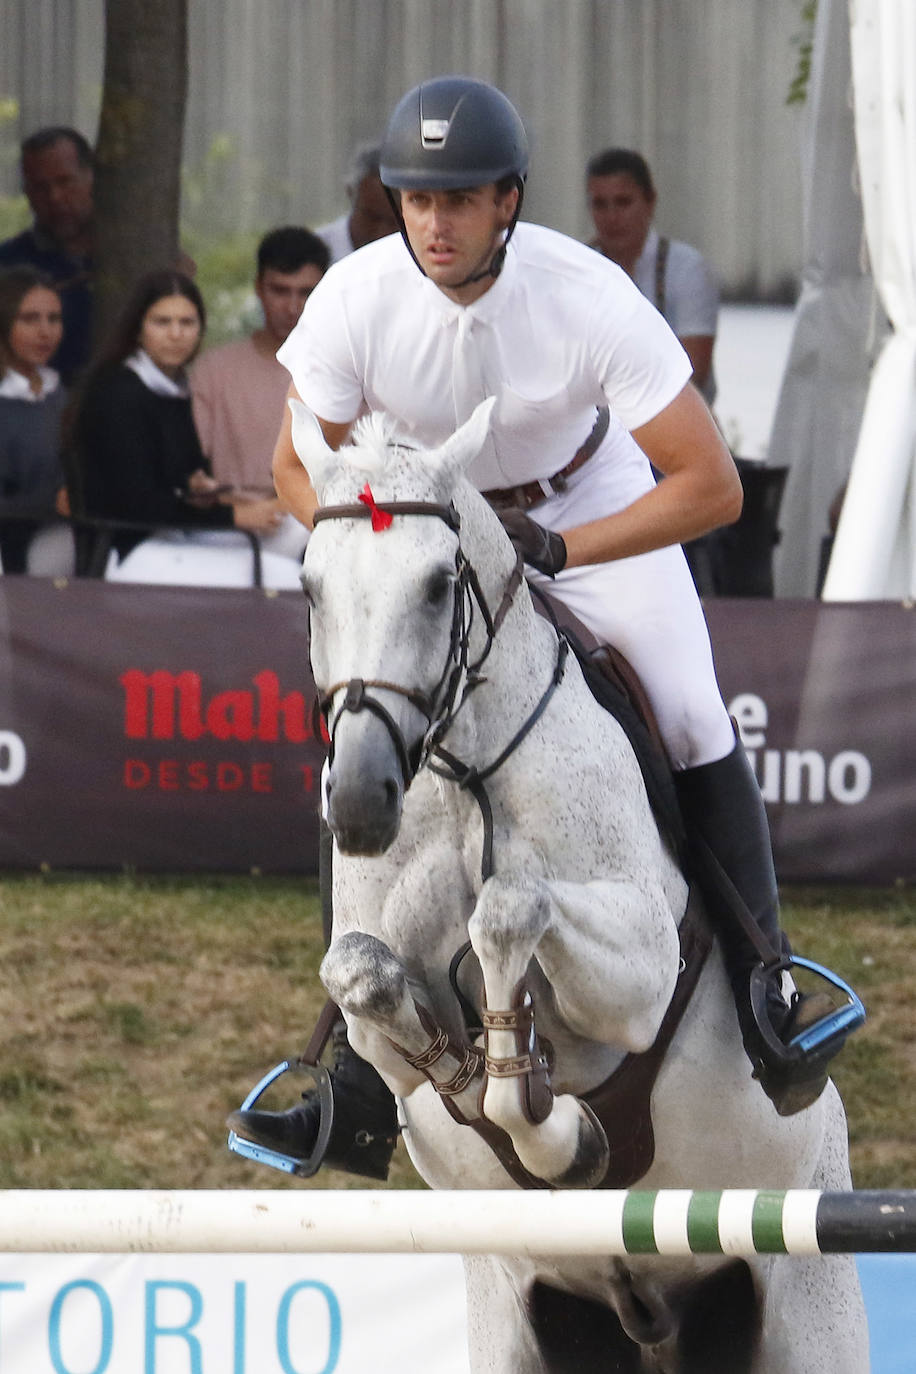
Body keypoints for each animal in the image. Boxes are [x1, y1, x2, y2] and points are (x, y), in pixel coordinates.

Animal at [292, 398, 867, 1374]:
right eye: (309, 588)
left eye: (438, 586)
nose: (362, 801)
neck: (463, 778)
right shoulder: (375, 1022)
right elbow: (368, 980)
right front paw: (482, 1071)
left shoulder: (641, 971)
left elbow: (510, 906)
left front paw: (552, 1125)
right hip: (523, 1321)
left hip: (808, 1301)